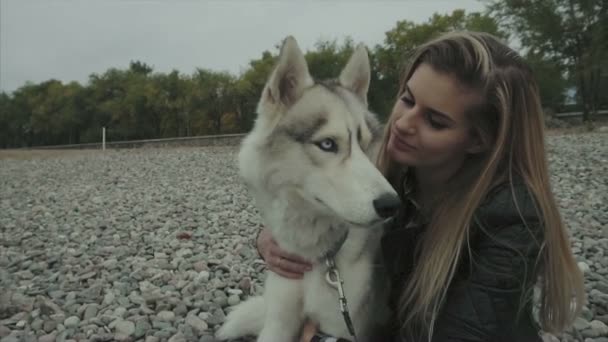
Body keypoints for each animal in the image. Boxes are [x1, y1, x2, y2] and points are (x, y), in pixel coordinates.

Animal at [216, 36, 402, 342]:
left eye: (364, 144)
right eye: (327, 144)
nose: (391, 204)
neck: (318, 258)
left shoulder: (340, 329)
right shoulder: (278, 322)